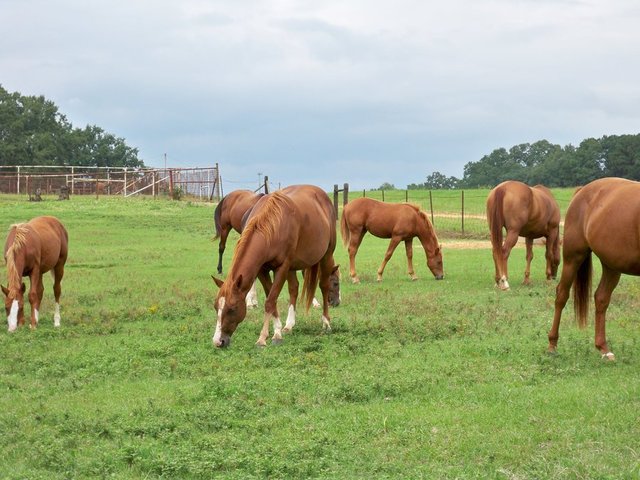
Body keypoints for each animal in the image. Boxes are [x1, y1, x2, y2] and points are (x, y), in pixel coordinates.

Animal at [211, 185, 340, 348]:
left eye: (232, 309)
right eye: (216, 307)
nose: (218, 341)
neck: (271, 227)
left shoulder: (282, 267)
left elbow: (270, 301)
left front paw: (265, 337)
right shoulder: (262, 269)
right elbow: (271, 299)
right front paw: (277, 330)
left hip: (326, 255)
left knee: (323, 286)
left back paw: (326, 322)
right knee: (294, 289)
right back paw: (289, 324)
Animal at [547, 177, 640, 360]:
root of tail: (583, 191)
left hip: (611, 265)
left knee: (601, 298)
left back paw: (604, 348)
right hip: (573, 257)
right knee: (561, 295)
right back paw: (552, 345)